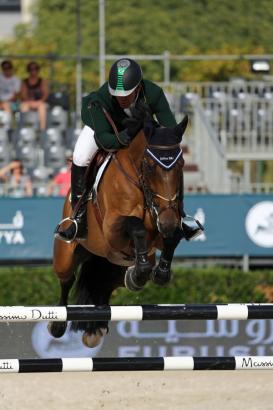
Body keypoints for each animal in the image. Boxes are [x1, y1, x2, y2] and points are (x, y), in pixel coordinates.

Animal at [48, 110, 187, 348]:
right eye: (150, 166)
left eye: (181, 166)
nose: (167, 222)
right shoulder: (112, 228)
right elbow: (136, 226)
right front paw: (147, 270)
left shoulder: (161, 228)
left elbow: (173, 236)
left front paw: (160, 273)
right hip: (66, 254)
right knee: (67, 280)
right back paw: (57, 325)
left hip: (115, 262)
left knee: (108, 281)